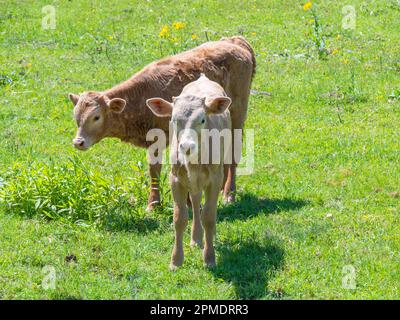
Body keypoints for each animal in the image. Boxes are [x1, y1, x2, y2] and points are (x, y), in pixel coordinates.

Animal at [146, 74, 231, 268]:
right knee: (195, 199)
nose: (186, 146)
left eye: (203, 120)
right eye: (174, 120)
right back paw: (196, 238)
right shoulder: (175, 178)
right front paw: (176, 260)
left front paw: (209, 258)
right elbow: (179, 218)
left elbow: (209, 216)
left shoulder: (215, 178)